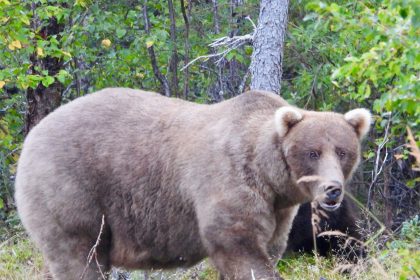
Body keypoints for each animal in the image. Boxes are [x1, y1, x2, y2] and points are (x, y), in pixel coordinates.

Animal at [13, 89, 370, 280]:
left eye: (342, 151)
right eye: (312, 152)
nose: (332, 189)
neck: (270, 176)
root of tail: (31, 136)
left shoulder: (279, 210)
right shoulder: (229, 182)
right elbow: (241, 247)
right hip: (72, 190)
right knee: (81, 256)